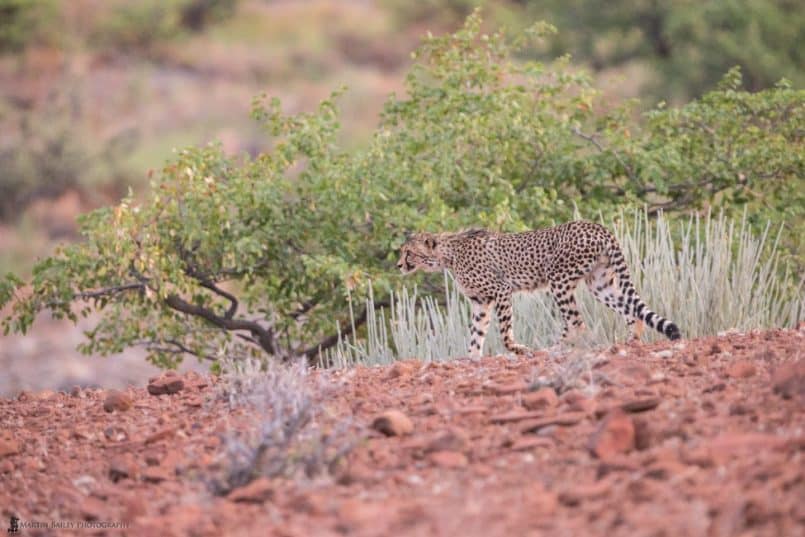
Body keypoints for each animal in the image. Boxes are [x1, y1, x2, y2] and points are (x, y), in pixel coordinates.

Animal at [396, 220, 680, 358]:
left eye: (408, 252)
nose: (398, 265)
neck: (448, 255)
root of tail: (596, 226)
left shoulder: (501, 290)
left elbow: (505, 334)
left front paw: (520, 349)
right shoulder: (481, 301)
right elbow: (476, 334)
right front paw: (471, 358)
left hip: (559, 279)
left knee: (577, 323)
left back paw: (561, 349)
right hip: (599, 284)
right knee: (631, 312)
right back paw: (630, 342)